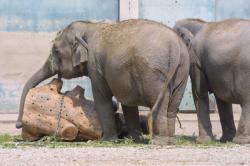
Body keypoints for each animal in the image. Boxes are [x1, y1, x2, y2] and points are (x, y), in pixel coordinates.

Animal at [16, 19, 189, 144]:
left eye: (56, 51)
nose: (18, 124)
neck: (89, 26)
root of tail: (176, 46)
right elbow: (127, 102)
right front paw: (134, 140)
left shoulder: (95, 67)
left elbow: (102, 97)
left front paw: (107, 140)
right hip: (182, 72)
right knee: (172, 108)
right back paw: (170, 141)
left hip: (153, 73)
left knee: (159, 105)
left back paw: (159, 142)